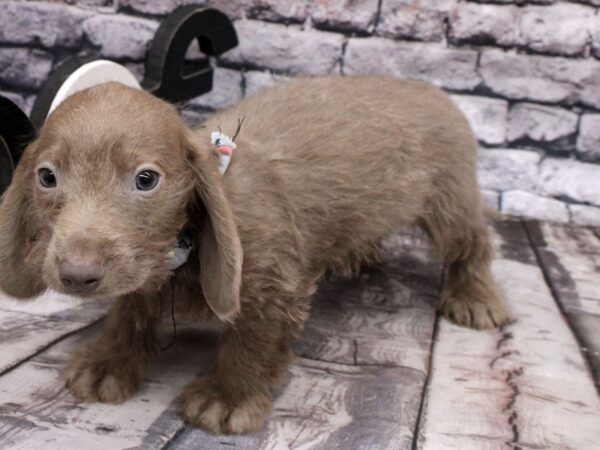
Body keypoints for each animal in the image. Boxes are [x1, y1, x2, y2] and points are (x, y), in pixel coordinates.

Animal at [0, 76, 506, 432]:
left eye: (146, 179)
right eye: (47, 177)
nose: (77, 274)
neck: (183, 243)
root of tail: (431, 90)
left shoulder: (273, 288)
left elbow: (252, 341)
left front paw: (229, 396)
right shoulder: (141, 273)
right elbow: (131, 311)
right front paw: (111, 361)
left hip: (449, 201)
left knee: (474, 242)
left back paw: (476, 296)